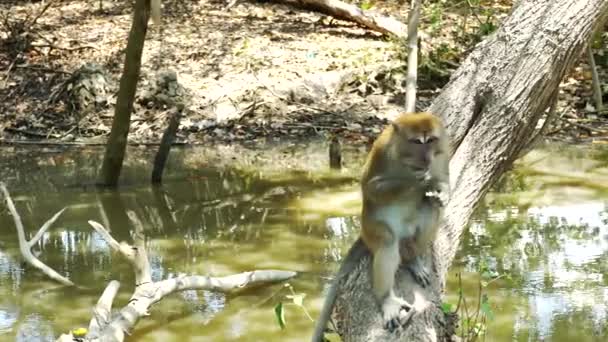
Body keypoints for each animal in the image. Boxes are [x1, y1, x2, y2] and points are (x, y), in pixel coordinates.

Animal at [314, 113, 446, 342]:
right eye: (416, 142)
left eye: (430, 140)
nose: (425, 159)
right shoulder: (381, 152)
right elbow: (371, 187)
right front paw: (419, 179)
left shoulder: (442, 153)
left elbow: (443, 186)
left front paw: (437, 190)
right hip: (372, 229)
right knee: (387, 243)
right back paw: (387, 299)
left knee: (429, 210)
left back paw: (413, 259)